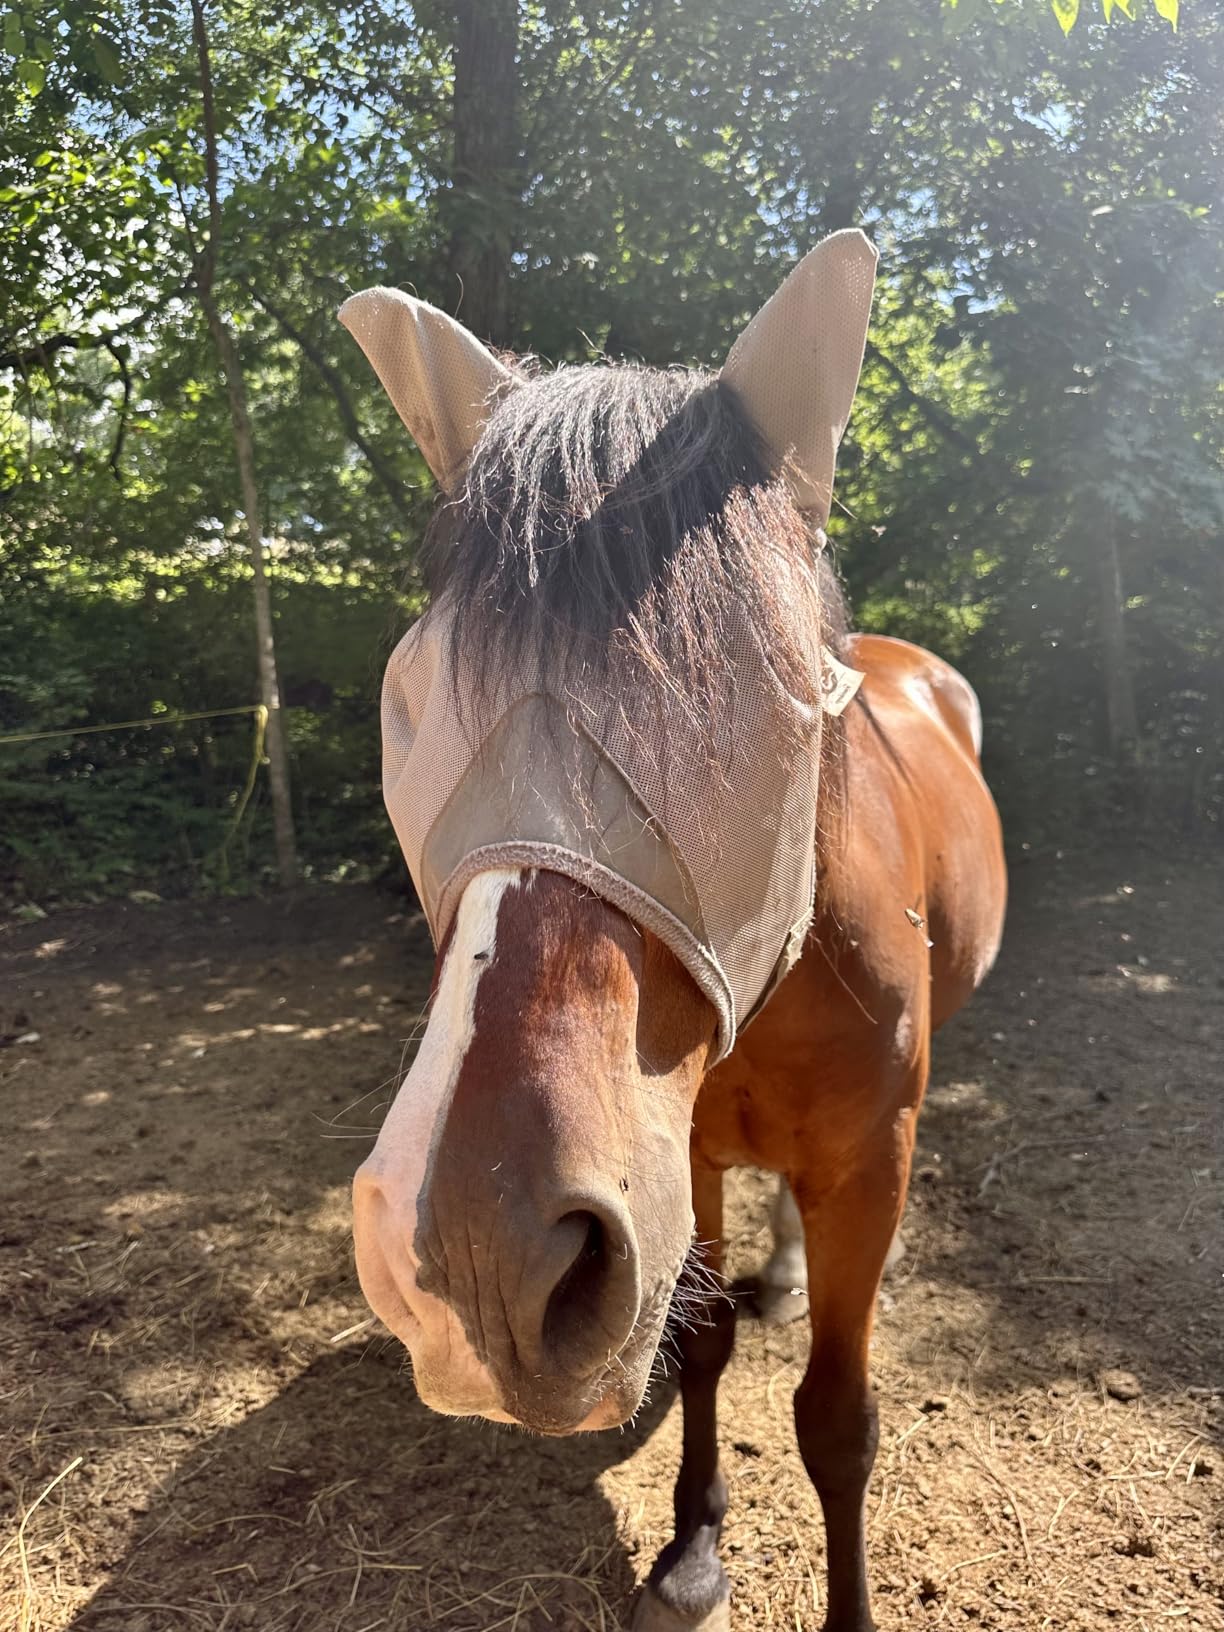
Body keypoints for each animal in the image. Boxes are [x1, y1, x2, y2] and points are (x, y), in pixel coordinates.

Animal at [340, 229, 1007, 1632]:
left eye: (770, 693)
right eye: (412, 698)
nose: (475, 1253)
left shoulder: (873, 1163)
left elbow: (837, 1418)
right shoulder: (676, 1156)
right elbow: (698, 1340)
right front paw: (694, 1547)